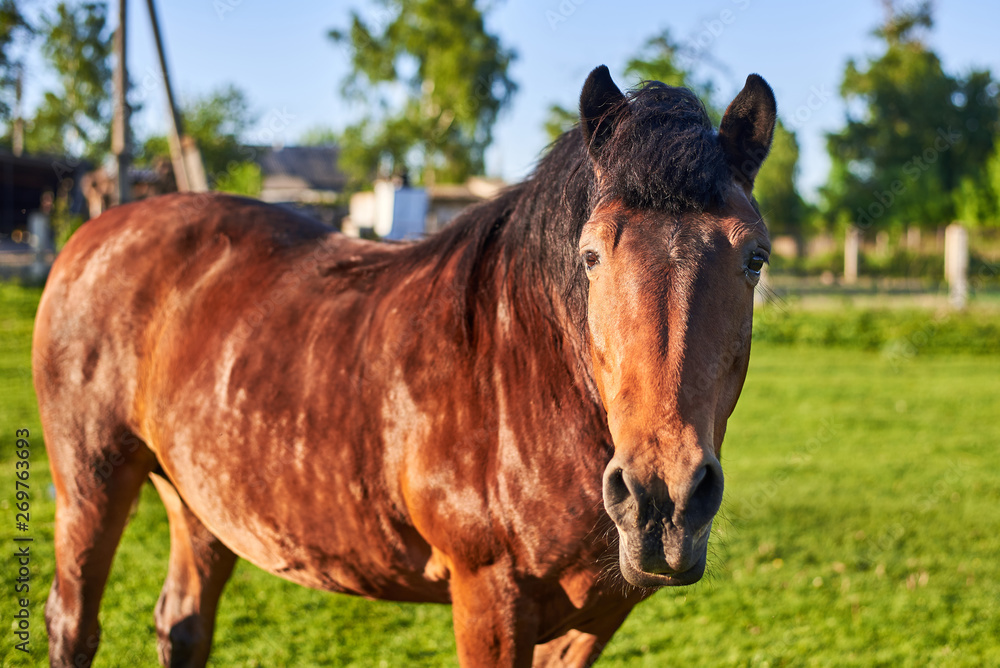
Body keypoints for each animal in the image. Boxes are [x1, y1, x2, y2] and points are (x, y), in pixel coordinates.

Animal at [34, 65, 775, 667]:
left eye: (755, 258)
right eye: (590, 254)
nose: (663, 500)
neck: (527, 378)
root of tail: (94, 233)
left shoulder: (595, 618)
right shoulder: (490, 596)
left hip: (199, 500)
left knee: (183, 627)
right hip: (91, 485)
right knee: (73, 624)